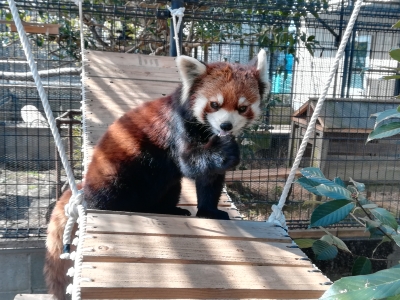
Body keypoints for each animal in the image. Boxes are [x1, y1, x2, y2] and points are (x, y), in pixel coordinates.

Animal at [44, 49, 268, 300]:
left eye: (242, 108)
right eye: (214, 104)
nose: (226, 126)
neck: (208, 132)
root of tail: (86, 186)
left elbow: (210, 180)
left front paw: (209, 211)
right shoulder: (178, 126)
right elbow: (189, 162)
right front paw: (225, 150)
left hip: (164, 185)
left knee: (170, 186)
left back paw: (168, 209)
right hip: (118, 171)